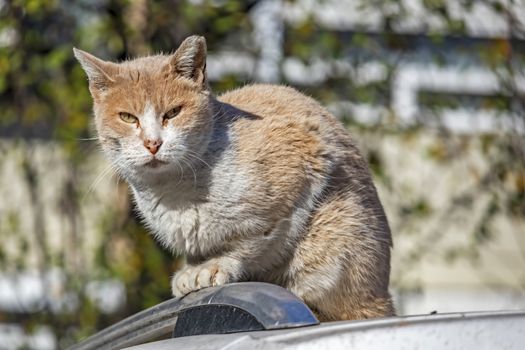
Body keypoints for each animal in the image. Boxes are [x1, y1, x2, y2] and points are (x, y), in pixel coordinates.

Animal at [72, 34, 392, 320]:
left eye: (173, 112)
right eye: (128, 117)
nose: (152, 143)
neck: (175, 190)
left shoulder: (304, 160)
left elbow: (249, 243)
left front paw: (214, 267)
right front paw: (191, 271)